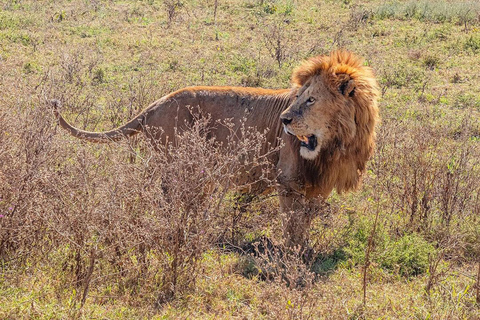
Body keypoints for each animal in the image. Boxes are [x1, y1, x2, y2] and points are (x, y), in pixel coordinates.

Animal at [52, 50, 380, 245]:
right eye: (298, 96)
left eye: (311, 99)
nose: (285, 119)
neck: (336, 145)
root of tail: (155, 105)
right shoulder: (288, 180)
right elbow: (292, 224)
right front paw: (291, 255)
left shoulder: (320, 184)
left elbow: (307, 221)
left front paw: (304, 250)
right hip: (180, 163)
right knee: (170, 197)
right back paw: (180, 229)